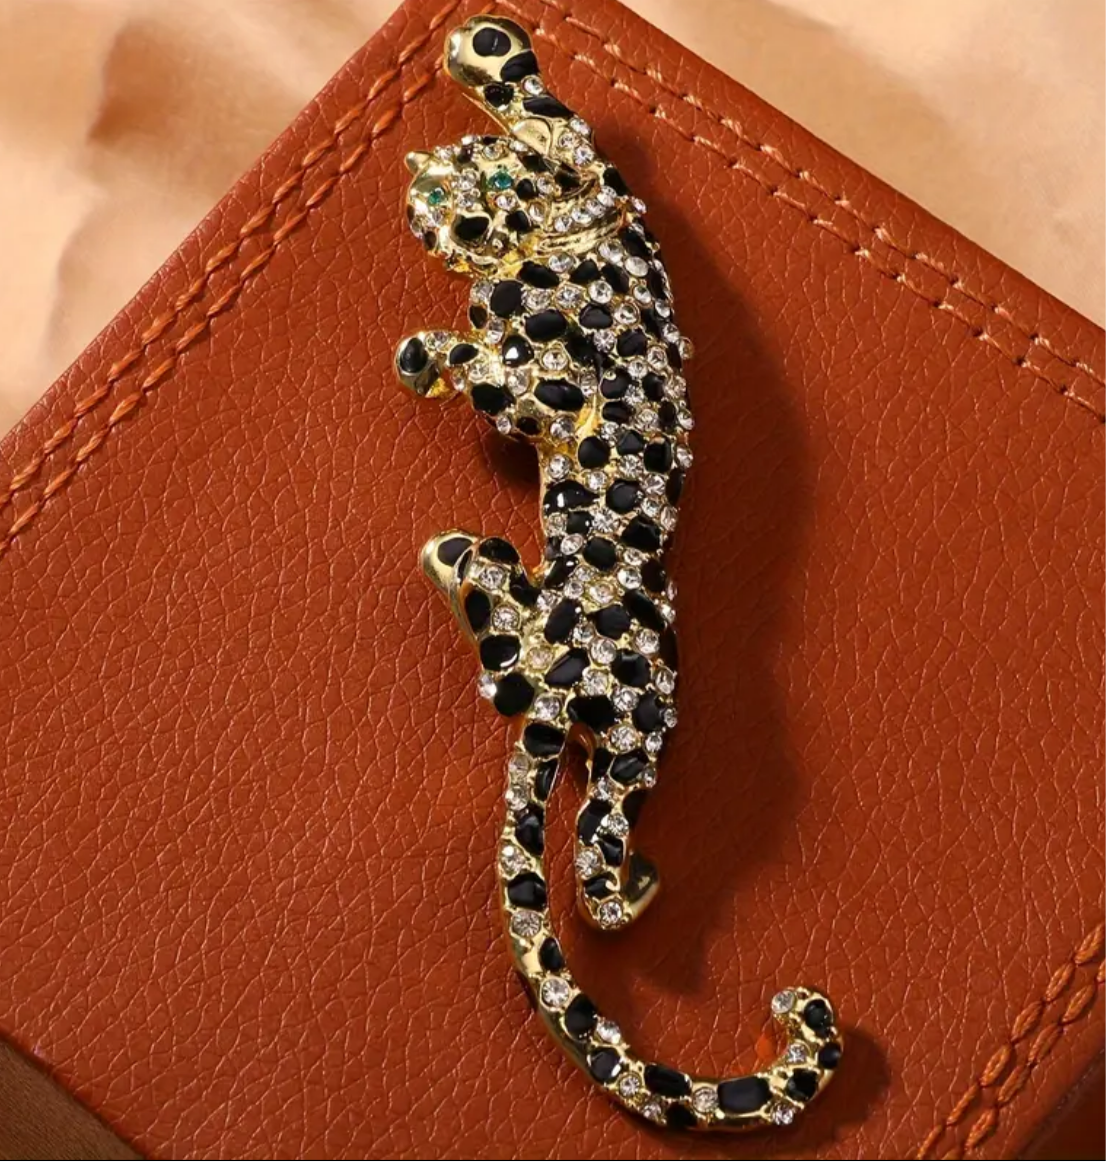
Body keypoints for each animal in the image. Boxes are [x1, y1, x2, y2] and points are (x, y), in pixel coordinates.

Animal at [394, 15, 841, 1131]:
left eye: (479, 188)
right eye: (442, 176)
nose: (432, 211)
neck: (562, 234)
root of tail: (554, 687)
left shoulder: (549, 377)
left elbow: (495, 365)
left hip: (633, 737)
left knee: (596, 858)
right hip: (585, 710)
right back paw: (473, 574)